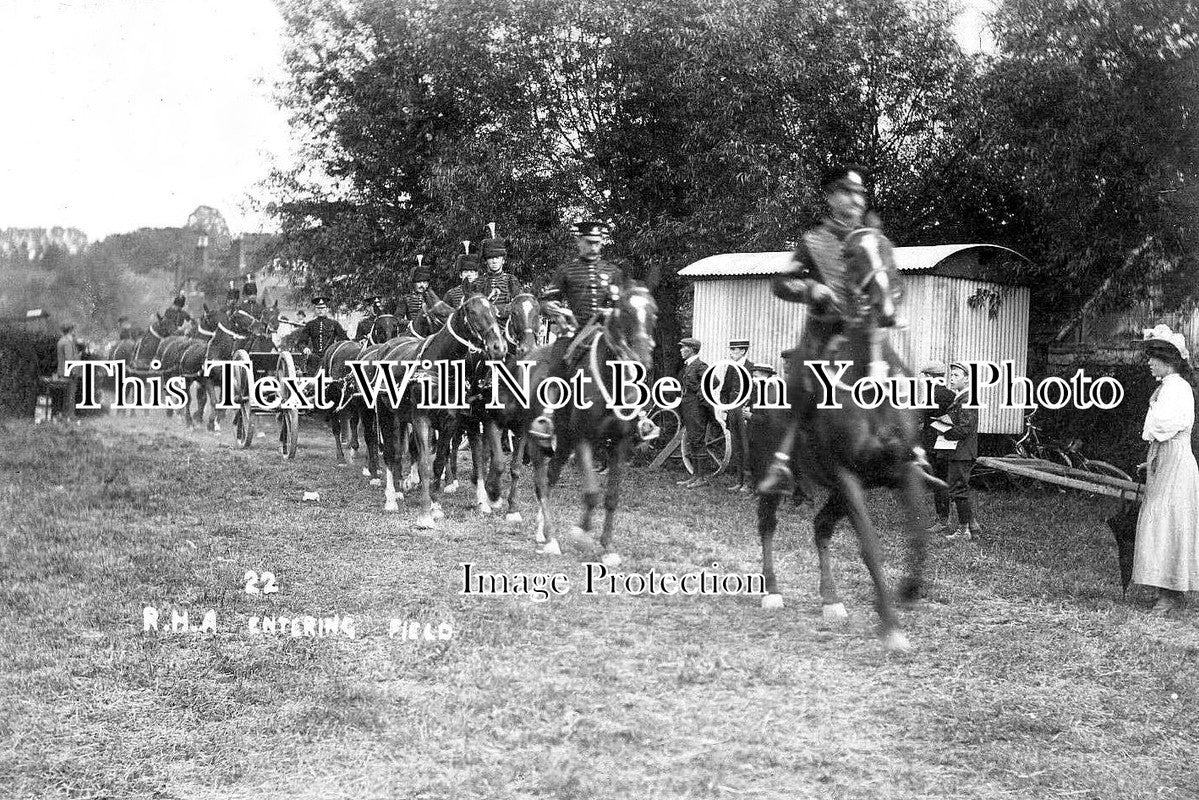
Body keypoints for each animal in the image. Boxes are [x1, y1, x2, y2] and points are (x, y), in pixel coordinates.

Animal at [752, 225, 940, 652]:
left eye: (888, 249)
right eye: (852, 255)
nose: (885, 308)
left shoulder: (900, 473)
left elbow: (920, 535)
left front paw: (908, 591)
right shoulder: (847, 477)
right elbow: (870, 547)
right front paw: (890, 625)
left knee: (821, 526)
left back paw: (831, 600)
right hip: (779, 479)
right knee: (767, 523)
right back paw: (771, 592)